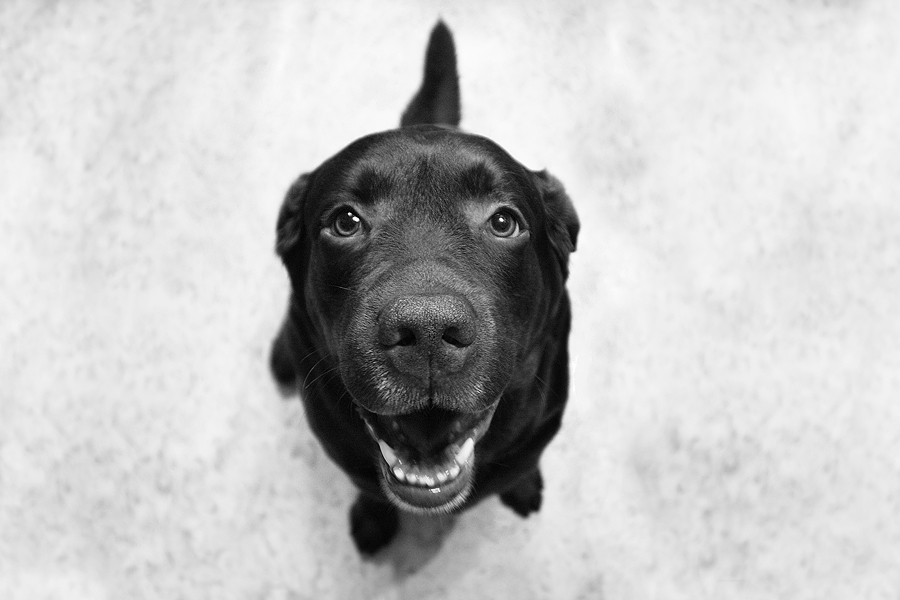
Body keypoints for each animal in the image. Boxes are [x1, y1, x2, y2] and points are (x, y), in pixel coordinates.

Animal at [270, 21, 579, 554]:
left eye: (504, 222)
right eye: (345, 221)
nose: (428, 331)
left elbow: (525, 462)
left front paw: (523, 486)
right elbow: (369, 488)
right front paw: (373, 519)